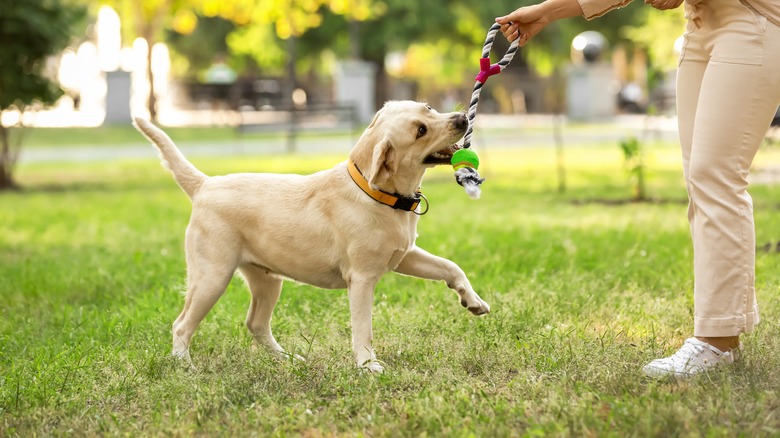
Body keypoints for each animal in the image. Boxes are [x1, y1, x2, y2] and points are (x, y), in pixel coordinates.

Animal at [134, 102, 488, 372]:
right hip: (212, 276)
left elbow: (450, 267)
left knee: (255, 323)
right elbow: (364, 327)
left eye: (428, 108)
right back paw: (185, 366)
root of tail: (205, 184)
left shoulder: (405, 256)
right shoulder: (362, 279)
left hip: (267, 280)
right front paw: (368, 365)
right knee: (182, 324)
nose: (462, 118)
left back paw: (288, 360)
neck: (376, 193)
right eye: (420, 131)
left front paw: (473, 300)